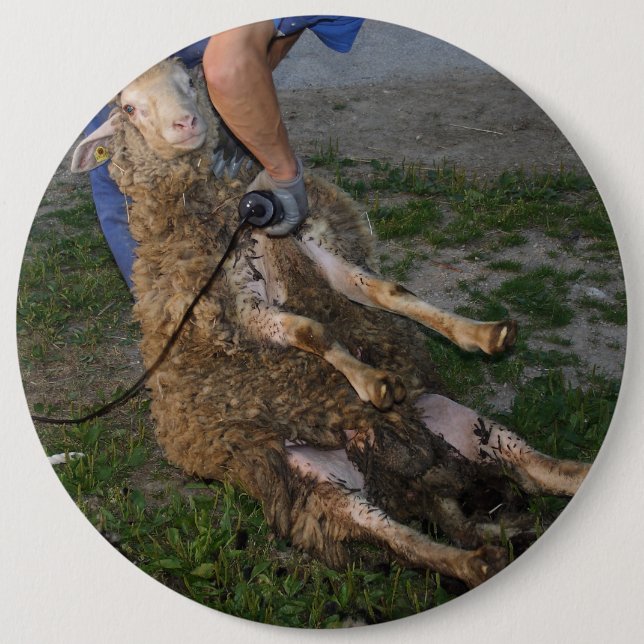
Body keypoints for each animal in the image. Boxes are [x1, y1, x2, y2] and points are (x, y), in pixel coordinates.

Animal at [71, 58, 591, 589]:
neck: (227, 211)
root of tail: (412, 478)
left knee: (537, 470)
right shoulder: (238, 308)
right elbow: (309, 330)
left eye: (190, 81)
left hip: (464, 425)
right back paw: (474, 560)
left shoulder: (313, 249)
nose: (186, 123)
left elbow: (389, 293)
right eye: (129, 108)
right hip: (315, 485)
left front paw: (481, 333)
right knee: (395, 537)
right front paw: (372, 381)